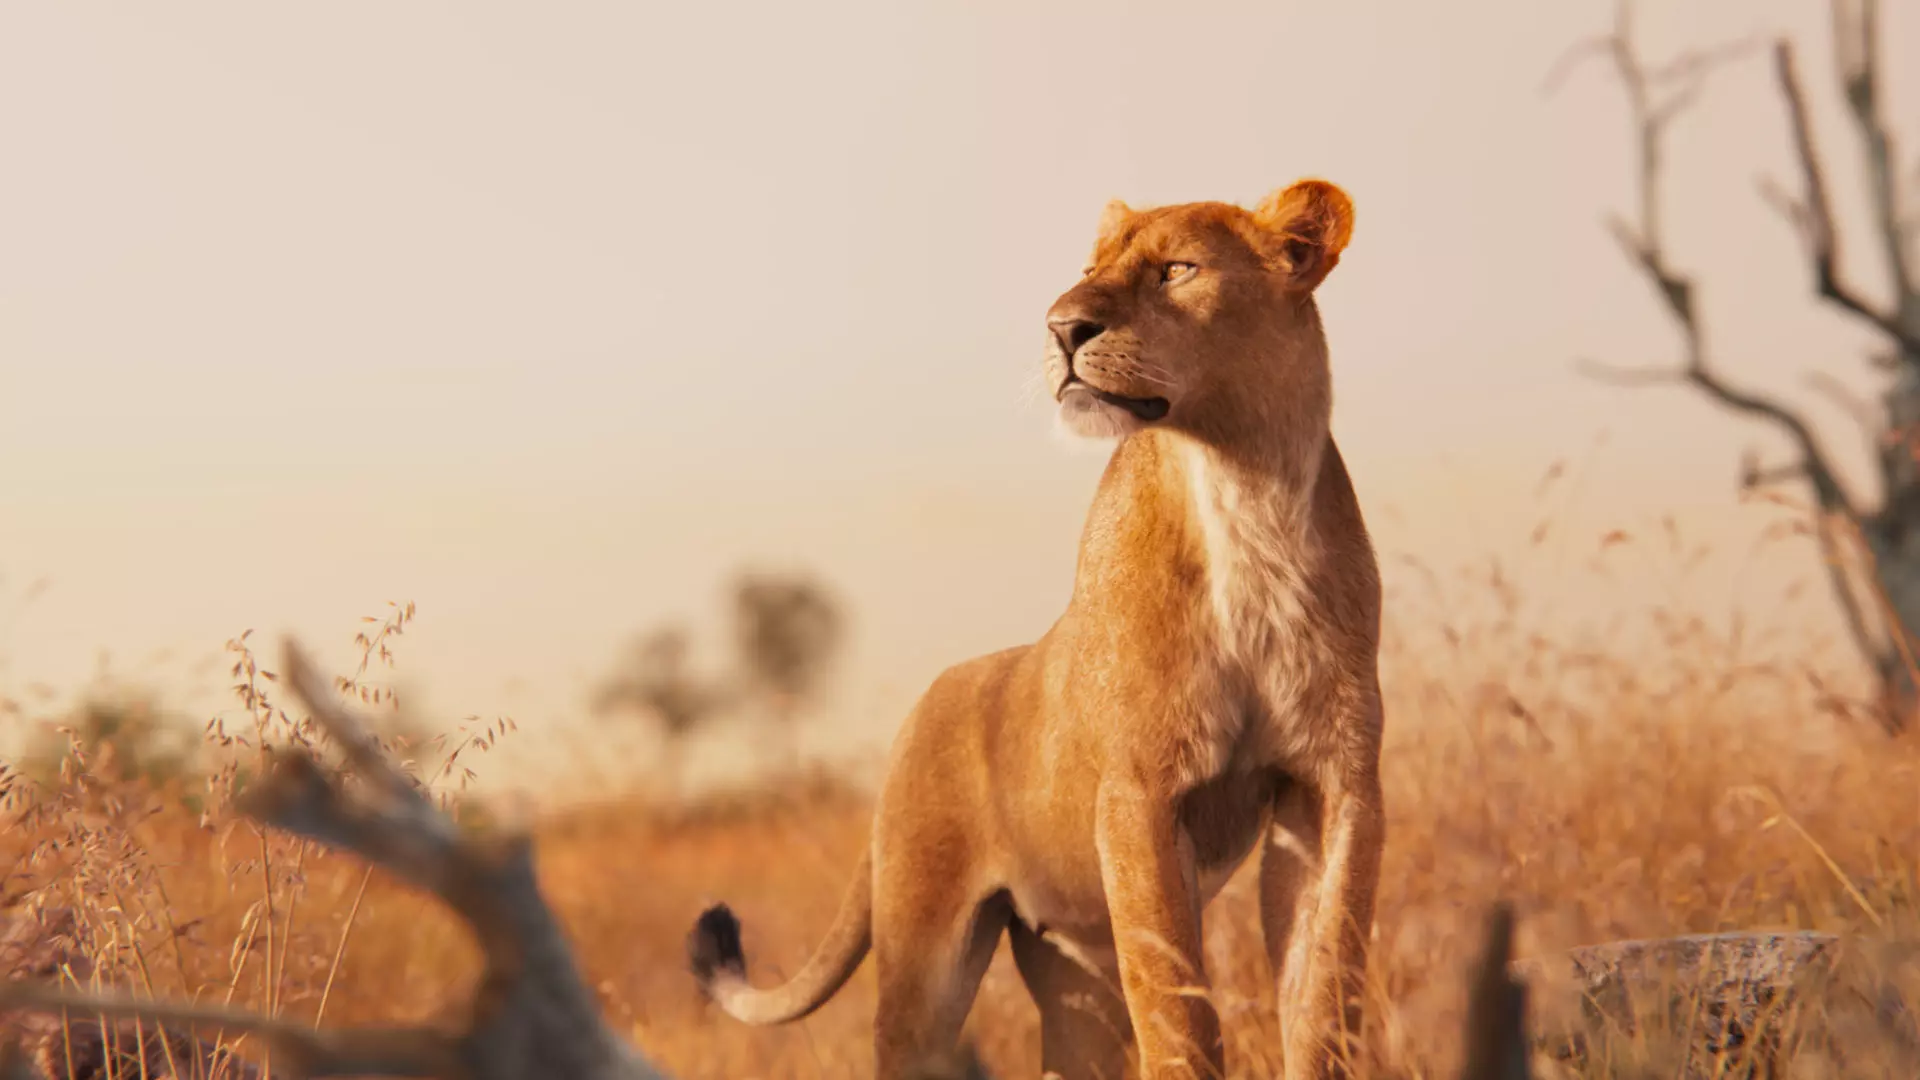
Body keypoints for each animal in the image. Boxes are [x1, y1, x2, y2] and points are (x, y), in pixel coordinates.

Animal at [689, 178, 1385, 1080]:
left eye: (1176, 270)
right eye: (1088, 271)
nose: (1061, 328)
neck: (1242, 484)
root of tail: (919, 711)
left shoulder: (1333, 783)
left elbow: (1325, 990)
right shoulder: (1138, 793)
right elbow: (1177, 1010)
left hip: (1075, 971)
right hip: (923, 962)